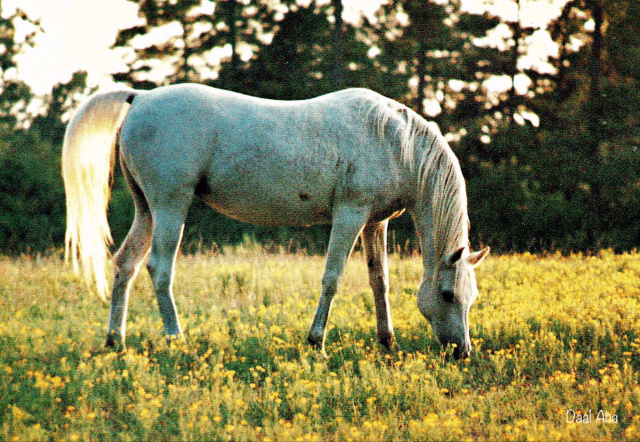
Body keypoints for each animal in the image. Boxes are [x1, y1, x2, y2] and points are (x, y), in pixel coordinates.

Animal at [61, 83, 490, 360]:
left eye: (472, 297)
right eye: (448, 295)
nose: (462, 352)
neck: (392, 140)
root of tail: (142, 97)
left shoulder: (374, 223)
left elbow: (378, 281)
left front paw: (387, 342)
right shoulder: (349, 215)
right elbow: (332, 278)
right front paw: (316, 343)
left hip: (147, 209)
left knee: (126, 265)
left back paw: (115, 341)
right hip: (170, 205)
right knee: (158, 269)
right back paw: (176, 339)